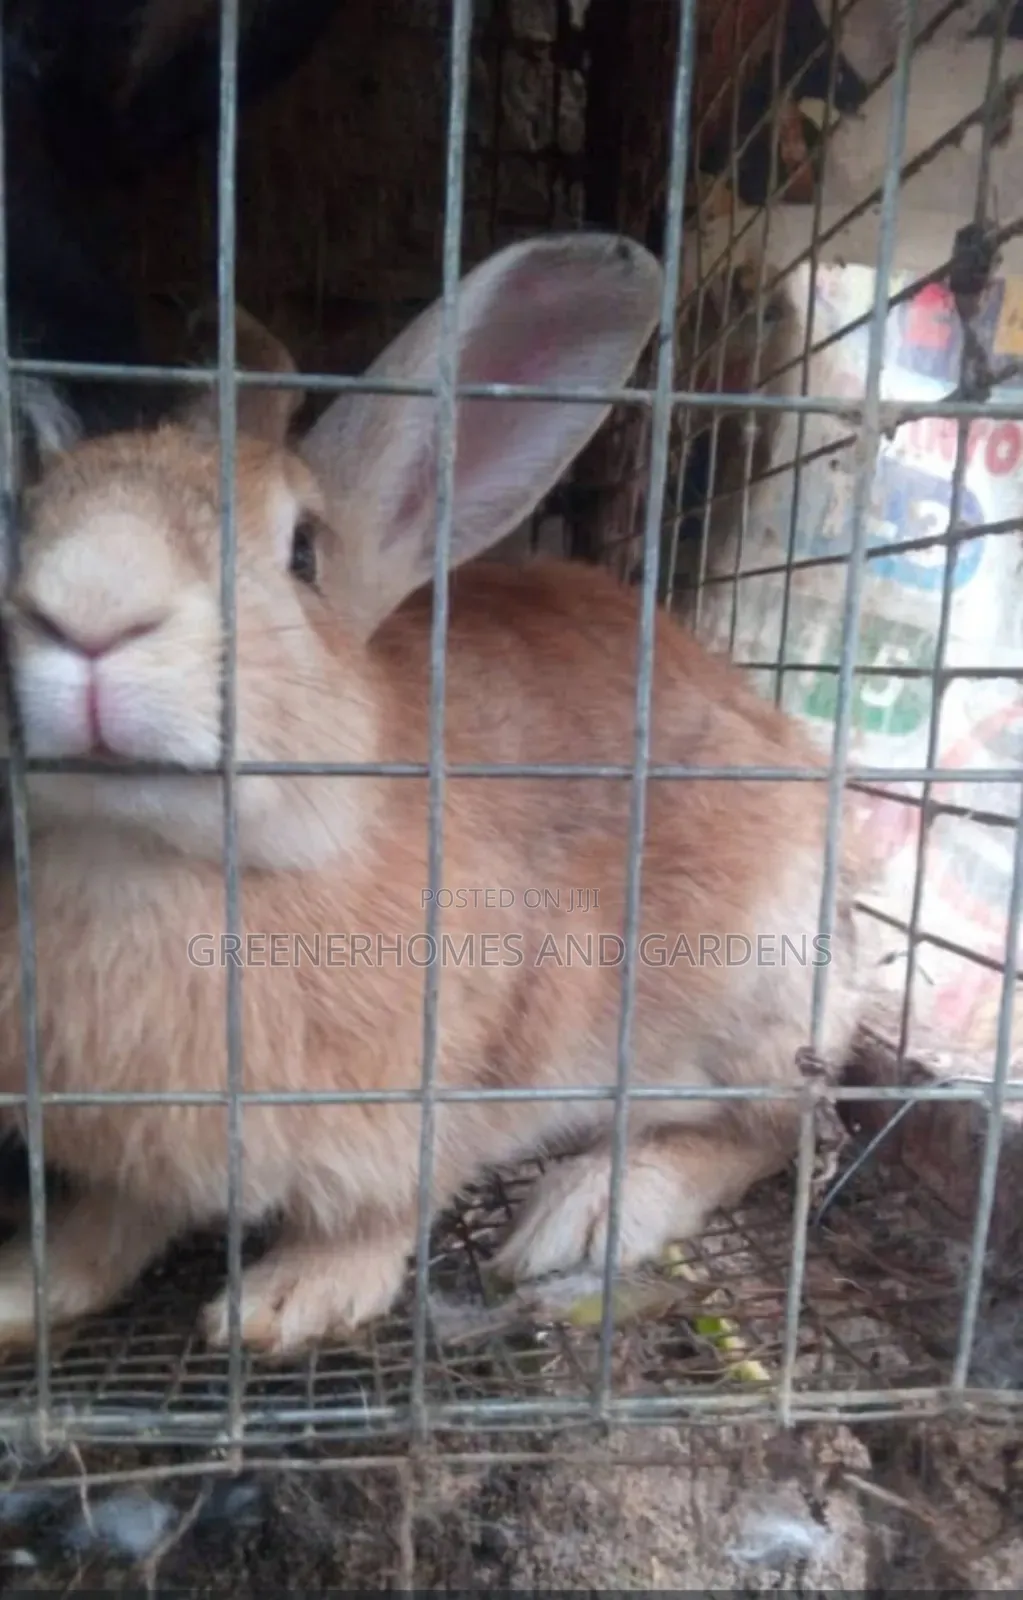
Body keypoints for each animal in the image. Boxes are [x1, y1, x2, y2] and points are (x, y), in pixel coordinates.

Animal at [0, 231, 867, 1359]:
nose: (89, 612)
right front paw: (28, 1288)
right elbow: (109, 1221)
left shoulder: (464, 1078)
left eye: (303, 553)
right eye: (27, 521)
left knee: (776, 1128)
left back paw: (587, 1210)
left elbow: (384, 1208)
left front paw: (290, 1301)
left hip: (752, 987)